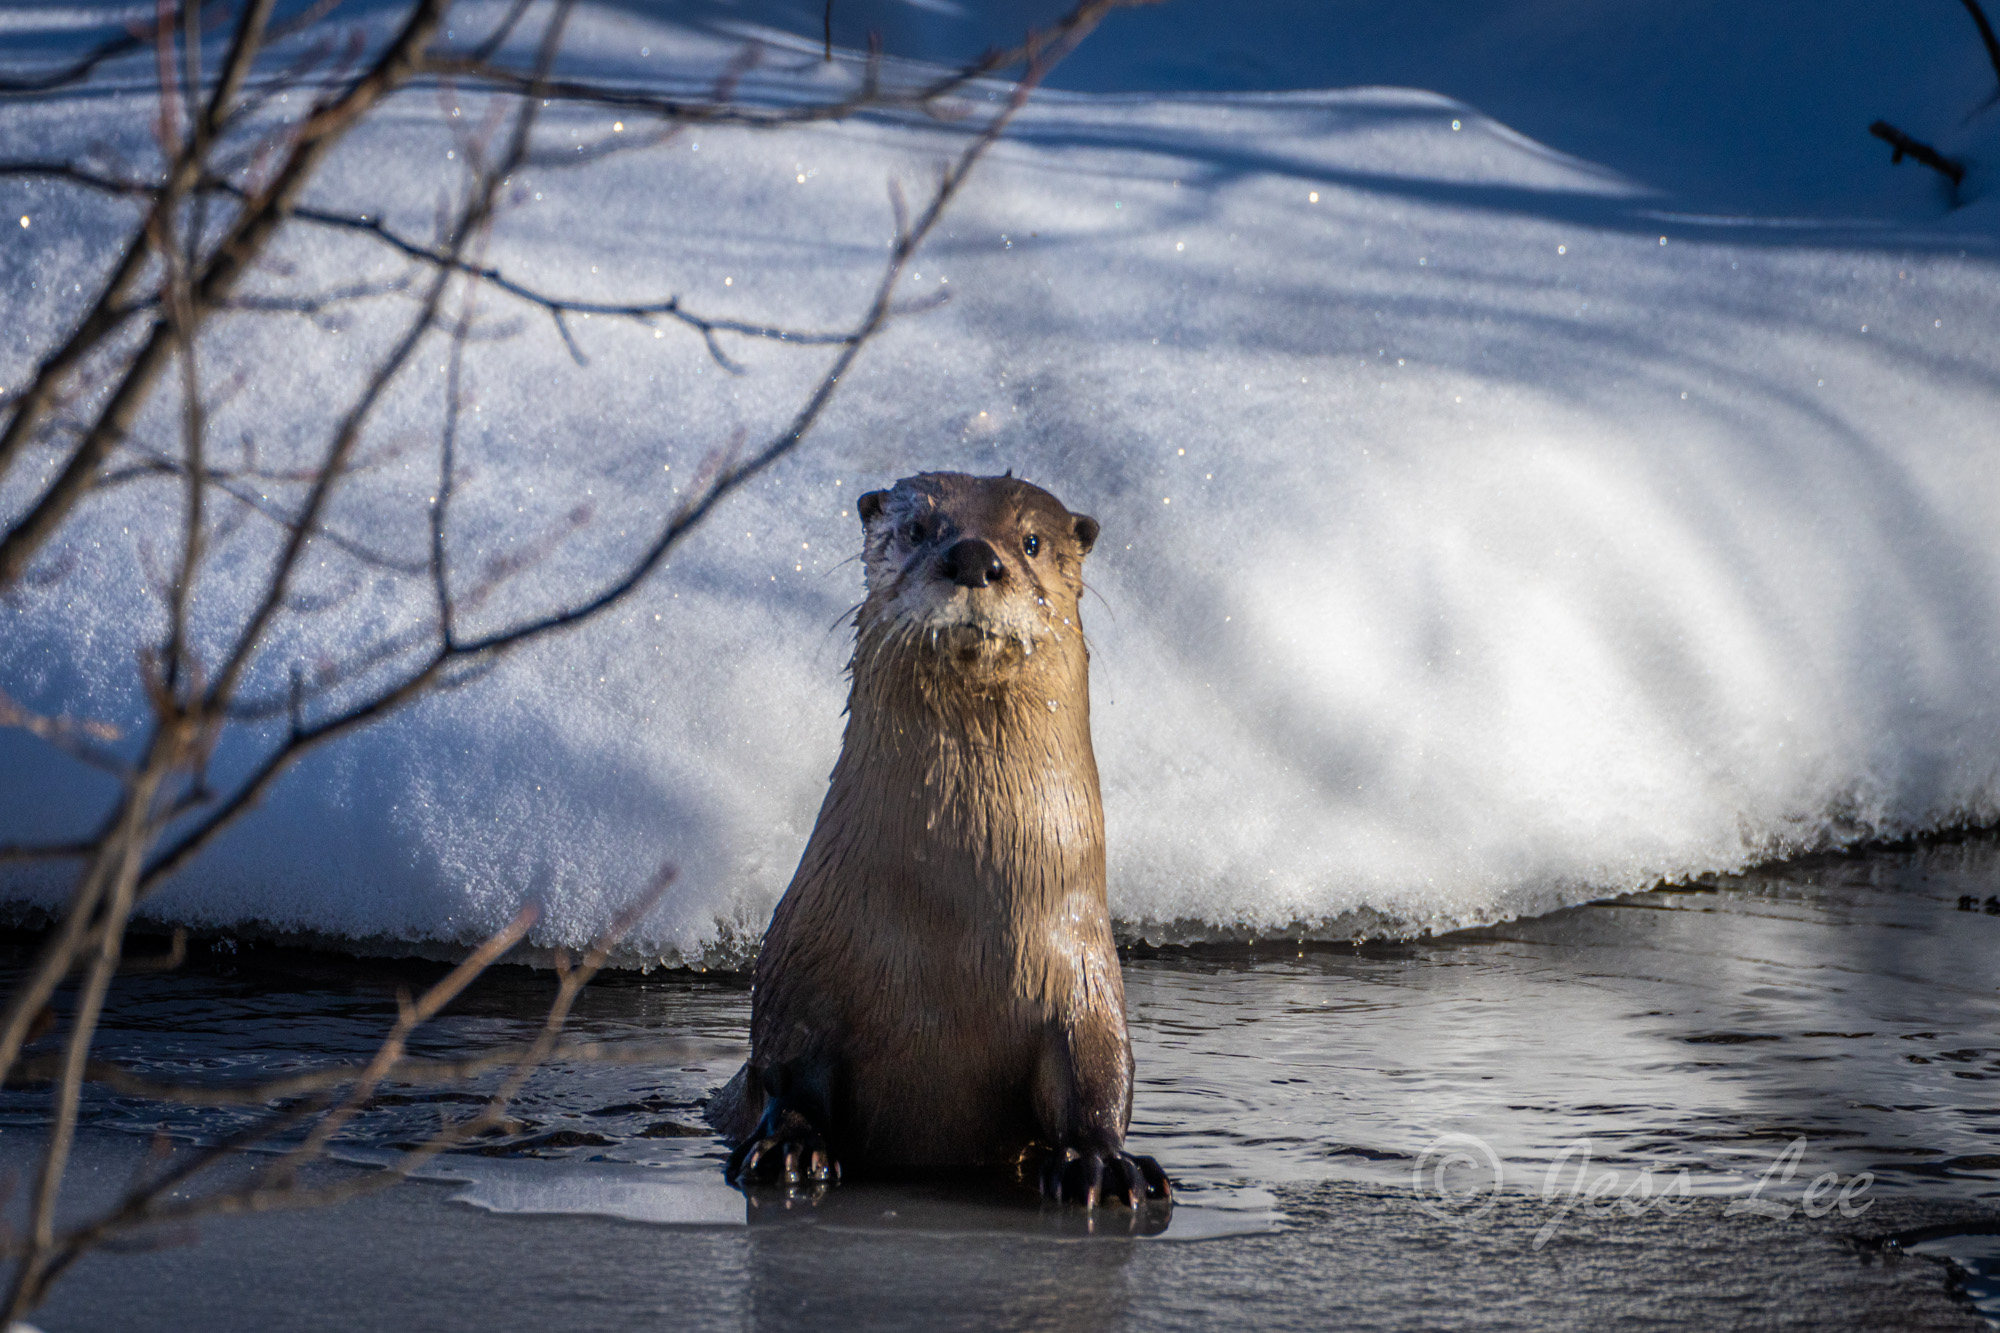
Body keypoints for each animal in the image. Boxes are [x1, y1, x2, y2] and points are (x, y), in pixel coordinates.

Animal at [708, 470, 1168, 1200]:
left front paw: (1099, 1161)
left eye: (1031, 541)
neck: (948, 912)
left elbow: (1098, 1071)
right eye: (920, 528)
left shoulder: (1084, 970)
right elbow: (785, 1064)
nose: (975, 556)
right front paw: (790, 1147)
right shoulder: (798, 964)